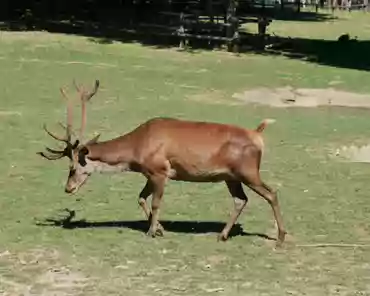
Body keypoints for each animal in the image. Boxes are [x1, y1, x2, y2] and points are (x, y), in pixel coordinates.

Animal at [38, 80, 286, 246]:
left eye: (72, 168)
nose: (68, 188)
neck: (136, 149)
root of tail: (258, 135)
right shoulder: (149, 173)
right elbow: (140, 198)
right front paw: (160, 229)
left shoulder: (160, 171)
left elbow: (156, 203)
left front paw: (151, 231)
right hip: (231, 177)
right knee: (240, 199)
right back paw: (222, 234)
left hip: (248, 171)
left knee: (272, 193)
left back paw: (280, 238)